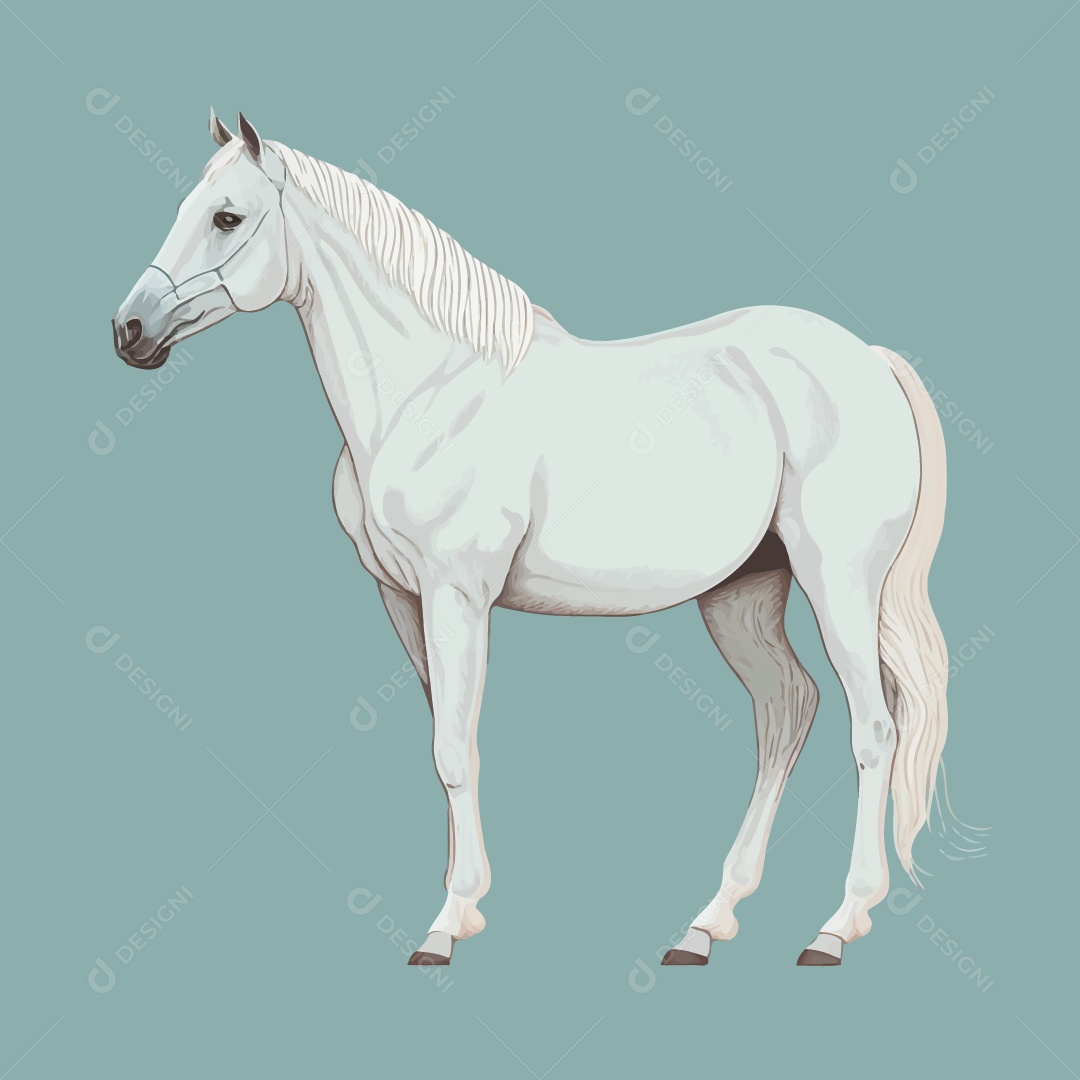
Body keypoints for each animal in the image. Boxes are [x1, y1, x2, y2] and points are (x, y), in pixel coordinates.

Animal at [111, 110, 951, 969]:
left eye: (227, 217)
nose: (130, 329)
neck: (432, 392)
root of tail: (870, 361)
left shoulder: (458, 596)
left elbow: (457, 751)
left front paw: (445, 928)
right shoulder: (404, 600)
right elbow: (444, 744)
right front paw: (457, 911)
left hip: (839, 582)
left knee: (874, 730)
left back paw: (835, 928)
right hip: (743, 592)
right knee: (786, 711)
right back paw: (706, 926)